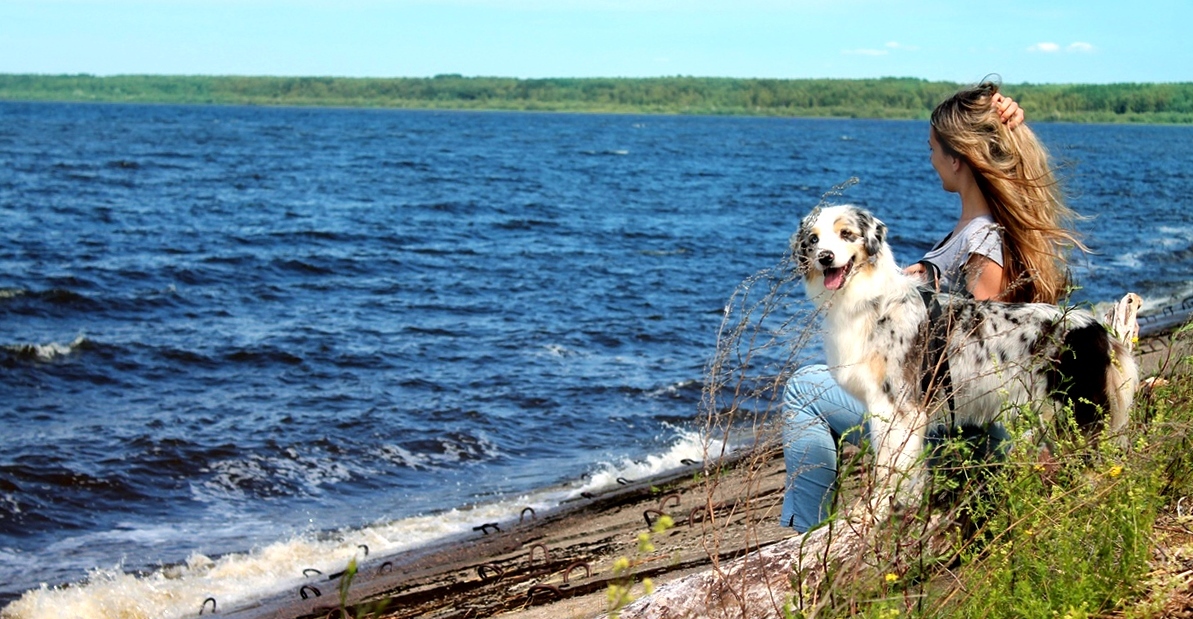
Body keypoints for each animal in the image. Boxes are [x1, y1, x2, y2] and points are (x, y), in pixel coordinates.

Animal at [792, 206, 1135, 520]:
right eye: (813, 239)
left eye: (846, 234)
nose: (824, 257)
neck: (871, 301)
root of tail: (1096, 328)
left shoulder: (900, 406)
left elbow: (893, 464)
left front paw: (884, 505)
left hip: (1075, 415)